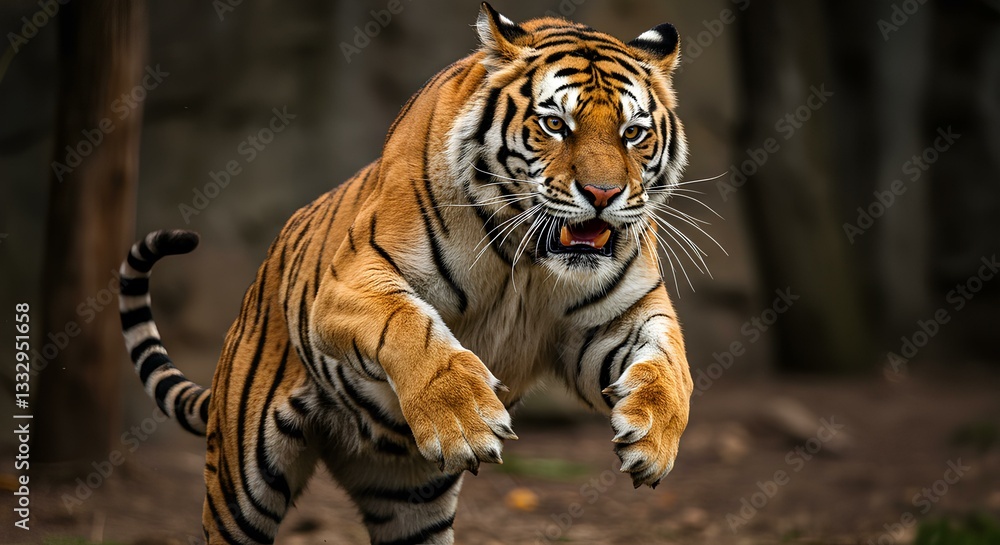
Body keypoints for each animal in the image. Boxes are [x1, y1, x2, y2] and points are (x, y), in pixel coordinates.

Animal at [118, 4, 694, 544]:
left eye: (633, 133)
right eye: (555, 125)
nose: (602, 194)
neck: (529, 261)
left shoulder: (618, 316)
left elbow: (671, 366)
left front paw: (652, 437)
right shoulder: (350, 281)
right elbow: (410, 325)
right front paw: (464, 418)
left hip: (409, 500)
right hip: (241, 483)